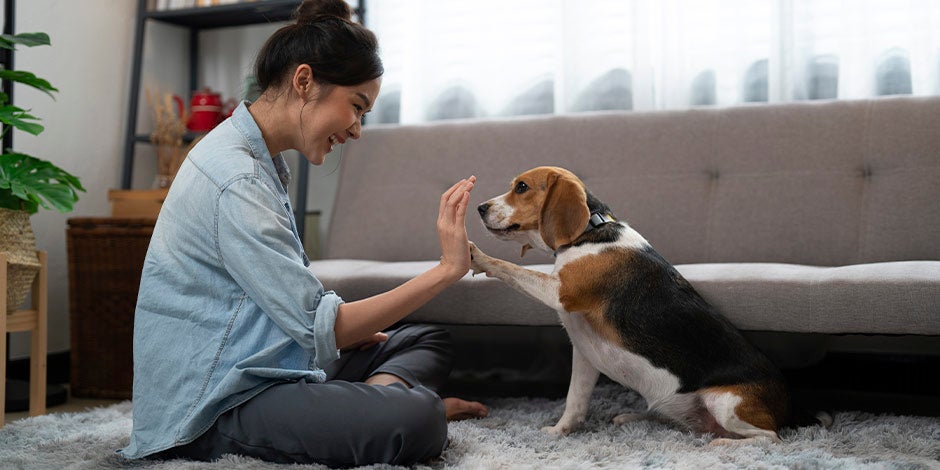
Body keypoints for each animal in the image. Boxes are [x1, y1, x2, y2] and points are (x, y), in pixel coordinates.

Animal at [470, 166, 828, 444]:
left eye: (521, 187)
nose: (480, 208)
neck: (591, 231)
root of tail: (788, 406)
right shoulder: (585, 353)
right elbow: (574, 401)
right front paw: (560, 432)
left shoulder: (560, 291)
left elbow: (509, 269)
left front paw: (476, 255)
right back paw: (631, 417)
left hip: (726, 403)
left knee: (769, 438)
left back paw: (723, 444)